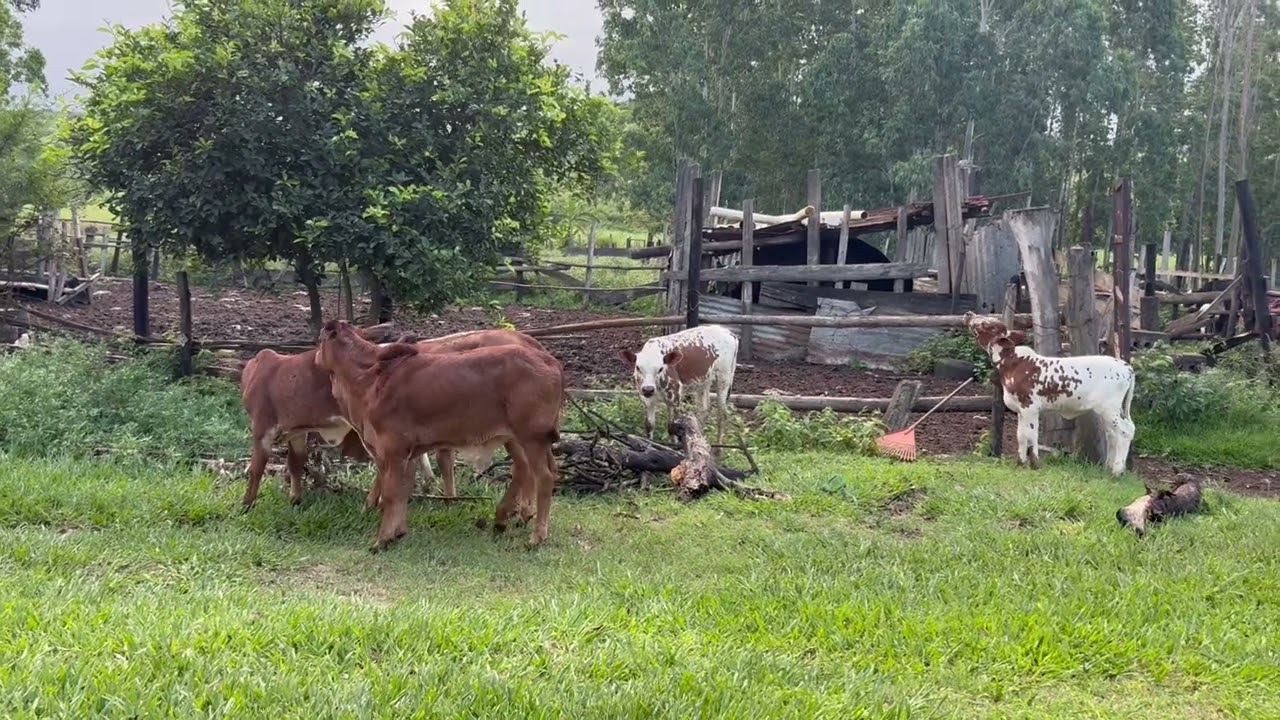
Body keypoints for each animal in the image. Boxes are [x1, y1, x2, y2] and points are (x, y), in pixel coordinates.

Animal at [315, 320, 564, 551]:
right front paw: (398, 532)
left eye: (321, 339)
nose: (315, 355)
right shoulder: (408, 452)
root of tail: (549, 359)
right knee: (536, 469)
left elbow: (391, 493)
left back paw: (535, 536)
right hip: (530, 440)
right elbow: (404, 490)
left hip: (530, 437)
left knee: (541, 475)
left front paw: (381, 539)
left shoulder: (392, 449)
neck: (371, 376)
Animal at [964, 312, 1136, 476]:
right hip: (1110, 410)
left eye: (986, 323)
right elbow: (1021, 435)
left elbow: (1031, 435)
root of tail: (1125, 365)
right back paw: (1108, 467)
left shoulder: (1030, 407)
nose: (968, 314)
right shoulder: (1020, 409)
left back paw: (1117, 471)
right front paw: (1020, 463)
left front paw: (1035, 464)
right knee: (1112, 434)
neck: (1012, 363)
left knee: (1125, 431)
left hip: (1110, 408)